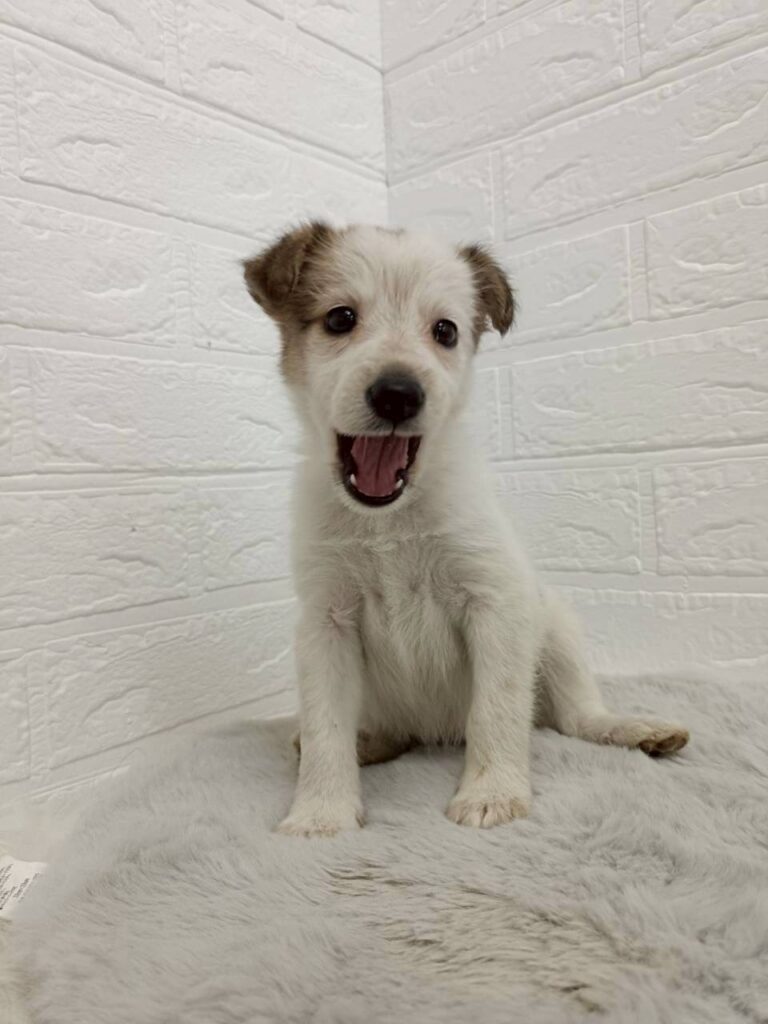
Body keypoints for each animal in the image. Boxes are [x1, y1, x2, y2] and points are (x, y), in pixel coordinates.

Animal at [243, 223, 689, 837]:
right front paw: (321, 813)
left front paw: (491, 793)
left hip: (556, 627)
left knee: (576, 716)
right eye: (339, 318)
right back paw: (366, 742)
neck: (389, 520)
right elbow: (325, 726)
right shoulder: (325, 623)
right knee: (376, 732)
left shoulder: (495, 602)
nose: (399, 394)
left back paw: (635, 730)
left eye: (445, 331)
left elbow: (496, 710)